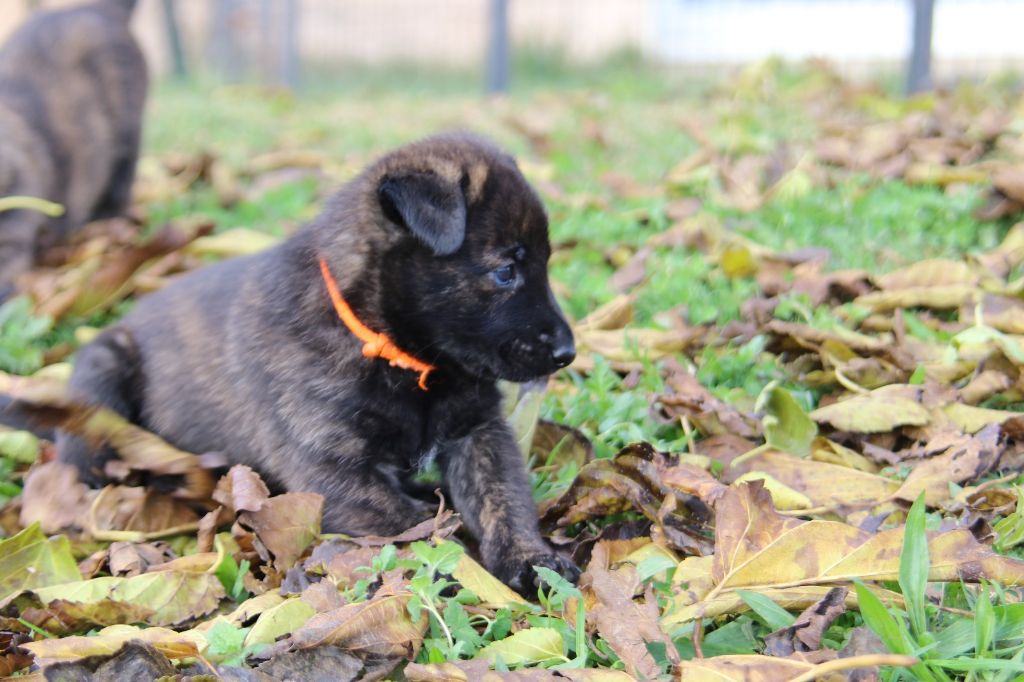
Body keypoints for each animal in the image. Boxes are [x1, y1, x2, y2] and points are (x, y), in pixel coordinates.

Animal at [59, 134, 581, 589]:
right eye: (505, 271)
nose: (567, 354)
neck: (395, 351)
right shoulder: (331, 469)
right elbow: (417, 526)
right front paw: (461, 565)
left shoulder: (480, 433)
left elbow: (505, 501)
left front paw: (533, 561)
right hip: (103, 369)